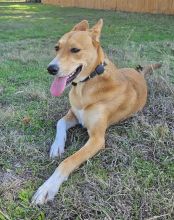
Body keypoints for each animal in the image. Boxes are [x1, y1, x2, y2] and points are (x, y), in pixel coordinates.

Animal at [31, 18, 162, 205]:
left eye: (75, 50)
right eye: (56, 48)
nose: (51, 69)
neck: (87, 85)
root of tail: (139, 73)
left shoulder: (97, 139)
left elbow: (68, 161)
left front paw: (48, 187)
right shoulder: (74, 114)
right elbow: (60, 122)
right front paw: (57, 146)